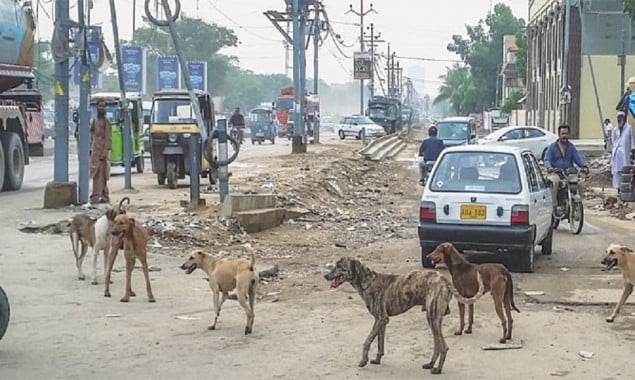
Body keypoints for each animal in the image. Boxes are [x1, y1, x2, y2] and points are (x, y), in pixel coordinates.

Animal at [326, 256, 484, 376]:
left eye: (340, 266)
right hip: (434, 320)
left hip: (432, 317)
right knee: (437, 344)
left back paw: (437, 369)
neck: (368, 282)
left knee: (443, 346)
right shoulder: (381, 321)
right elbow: (380, 343)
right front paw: (377, 359)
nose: (325, 276)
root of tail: (445, 280)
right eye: (335, 265)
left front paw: (363, 361)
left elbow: (367, 341)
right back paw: (430, 364)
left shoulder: (381, 319)